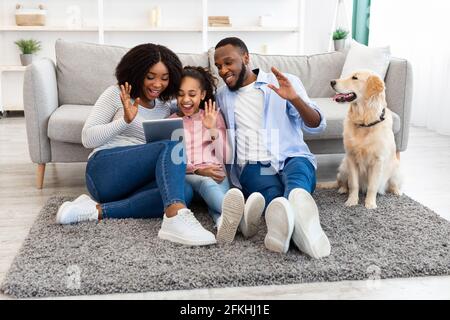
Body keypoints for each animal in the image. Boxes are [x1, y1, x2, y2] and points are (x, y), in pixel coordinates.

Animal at [330, 70, 400, 210]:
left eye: (354, 78)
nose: (332, 82)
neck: (364, 122)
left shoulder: (378, 161)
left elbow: (372, 186)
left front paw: (370, 204)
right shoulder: (351, 158)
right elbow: (353, 184)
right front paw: (352, 201)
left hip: (396, 168)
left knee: (393, 183)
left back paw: (397, 191)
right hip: (344, 167)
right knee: (342, 181)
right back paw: (342, 189)